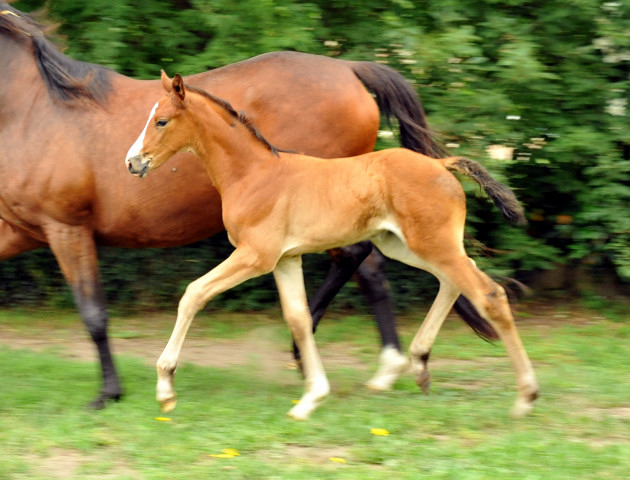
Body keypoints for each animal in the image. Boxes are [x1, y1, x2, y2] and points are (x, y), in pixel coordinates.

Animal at [0, 3, 494, 408]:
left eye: (161, 121)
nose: (132, 161)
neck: (32, 112)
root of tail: (349, 68)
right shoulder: (19, 229)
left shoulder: (66, 227)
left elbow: (94, 312)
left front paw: (109, 393)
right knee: (369, 268)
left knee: (362, 264)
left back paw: (341, 360)